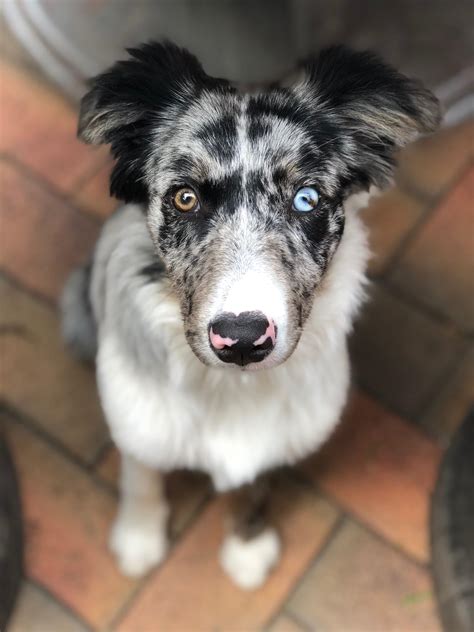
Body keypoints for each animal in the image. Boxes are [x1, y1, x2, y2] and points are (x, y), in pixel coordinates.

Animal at [60, 42, 440, 592]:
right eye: (185, 198)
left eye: (306, 199)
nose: (241, 339)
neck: (231, 390)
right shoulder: (139, 421)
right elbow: (141, 476)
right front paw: (138, 541)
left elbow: (253, 489)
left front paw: (246, 549)